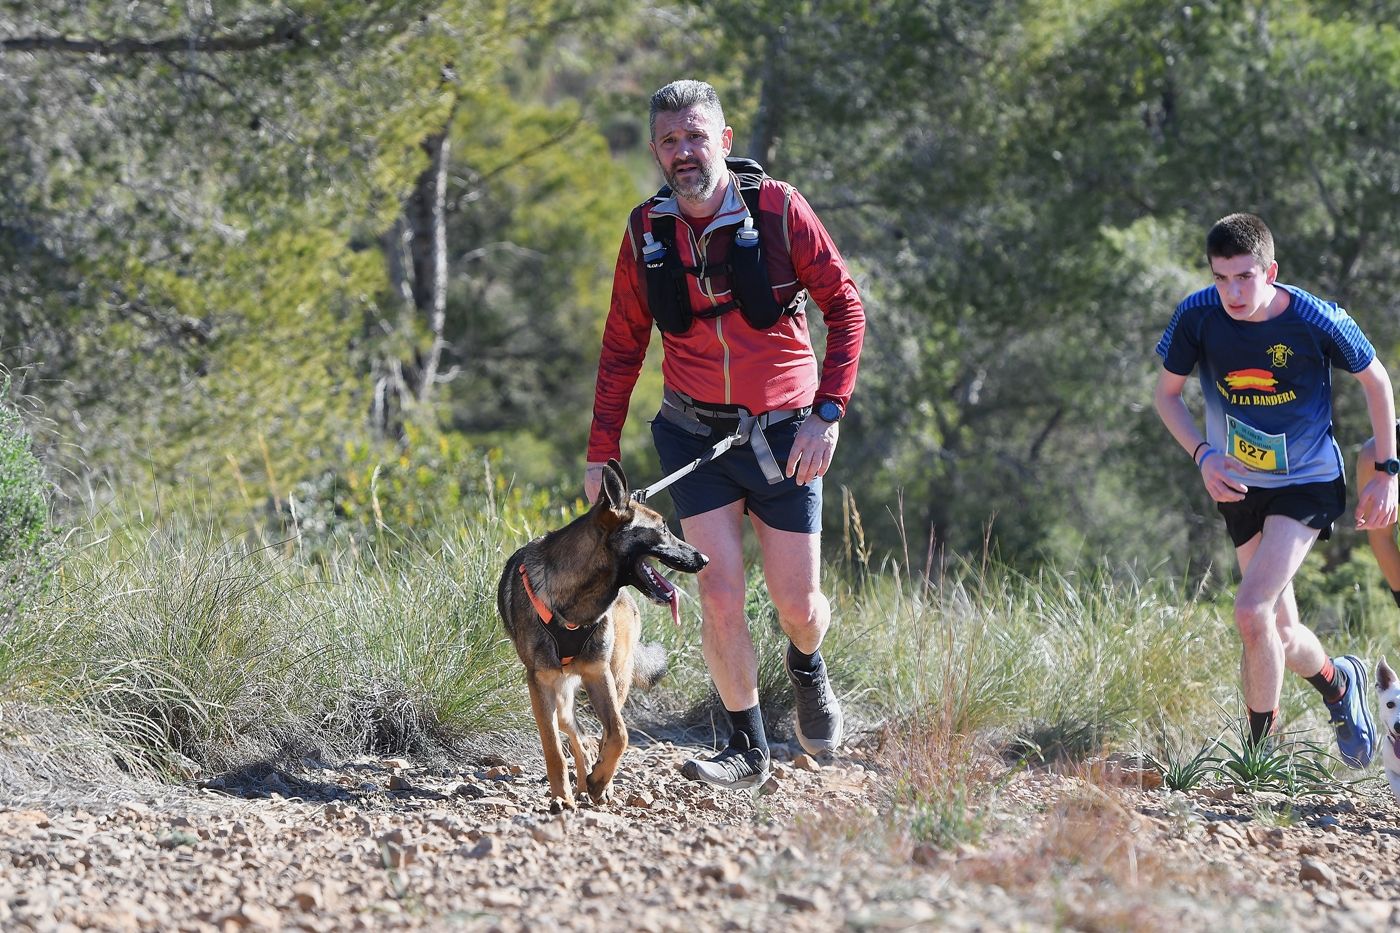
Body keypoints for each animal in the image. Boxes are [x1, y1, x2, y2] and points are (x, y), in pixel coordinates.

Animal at [498, 453, 705, 801]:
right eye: (662, 528)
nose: (704, 559)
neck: (575, 604)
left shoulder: (598, 673)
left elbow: (619, 734)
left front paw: (599, 780)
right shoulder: (540, 682)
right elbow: (553, 748)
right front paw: (562, 796)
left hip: (615, 677)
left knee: (600, 730)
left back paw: (596, 781)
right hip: (560, 692)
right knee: (571, 730)